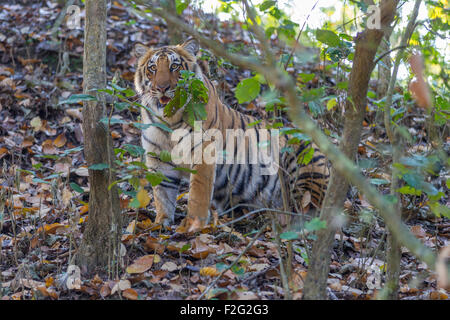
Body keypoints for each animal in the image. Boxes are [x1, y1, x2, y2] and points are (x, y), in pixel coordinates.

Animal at [134, 38, 330, 231]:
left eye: (174, 66)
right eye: (153, 68)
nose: (162, 87)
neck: (169, 121)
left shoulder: (203, 153)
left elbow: (198, 194)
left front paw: (192, 226)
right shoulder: (158, 160)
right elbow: (162, 196)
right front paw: (160, 224)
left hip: (306, 169)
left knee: (306, 214)